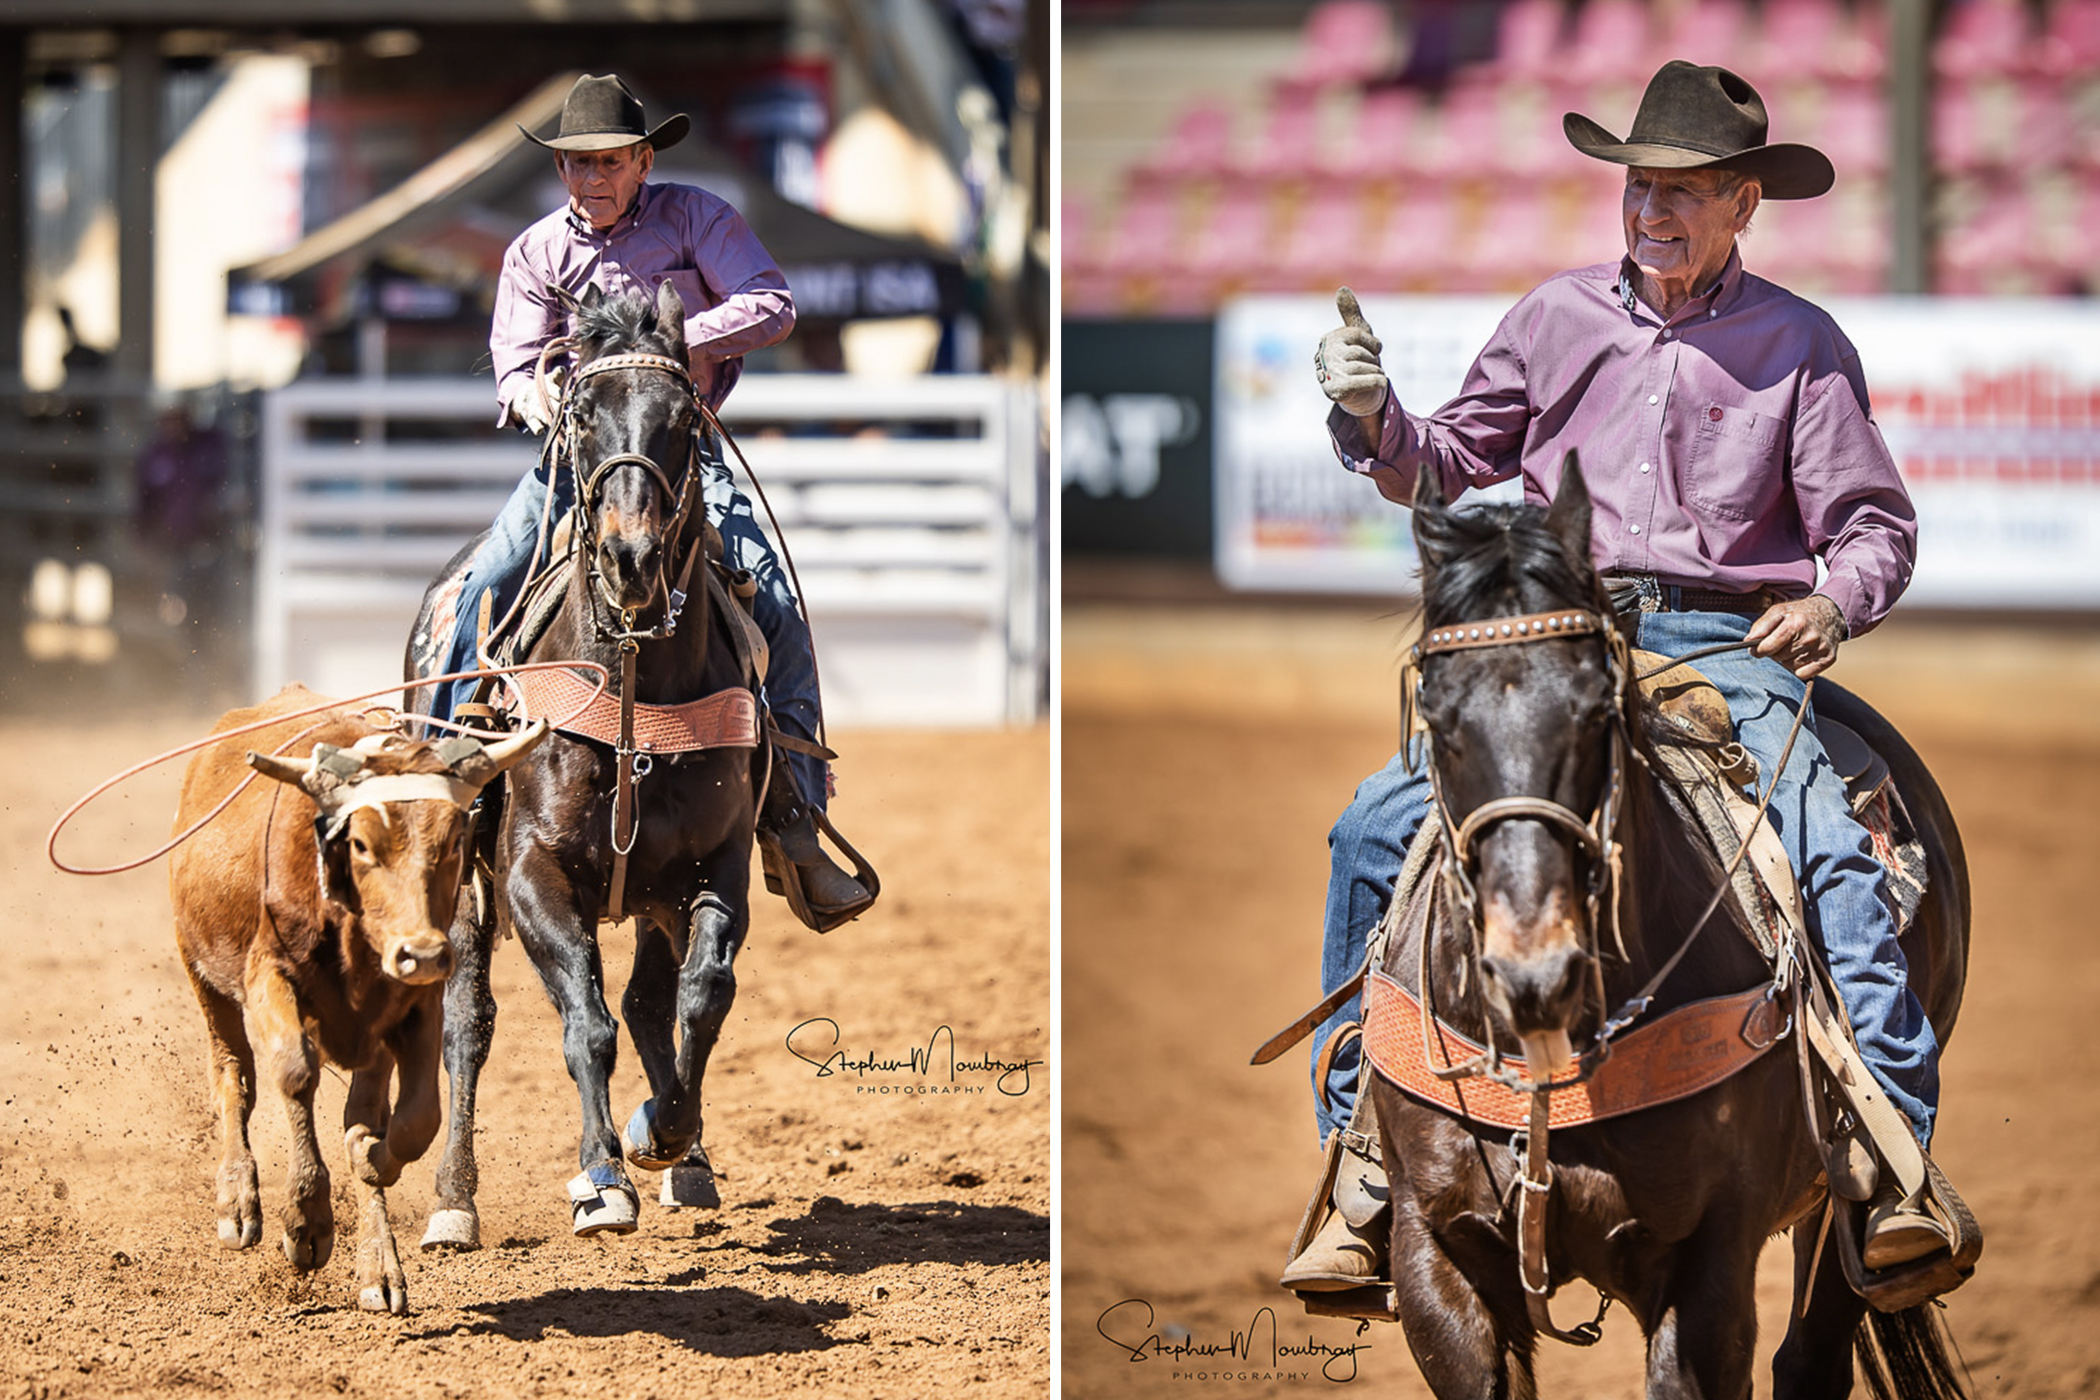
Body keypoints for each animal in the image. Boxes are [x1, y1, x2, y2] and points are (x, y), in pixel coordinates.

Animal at [405, 279, 760, 1242]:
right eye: (583, 415)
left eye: (683, 417)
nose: (631, 557)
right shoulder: (532, 872)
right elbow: (585, 1023)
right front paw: (602, 1176)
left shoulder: (716, 866)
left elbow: (700, 995)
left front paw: (663, 1135)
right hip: (464, 880)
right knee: (466, 1021)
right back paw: (454, 1201)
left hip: (651, 896)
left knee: (650, 1000)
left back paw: (687, 1158)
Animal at [1377, 461, 1965, 1400]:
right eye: (1437, 714)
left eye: (1595, 708)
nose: (1533, 973)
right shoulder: (1435, 1251)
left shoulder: (1710, 1263)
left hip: (1844, 1200)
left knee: (1815, 1348)